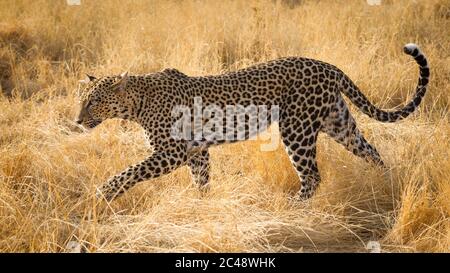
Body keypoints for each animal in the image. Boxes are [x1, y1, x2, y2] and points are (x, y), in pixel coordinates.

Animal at [76, 43, 428, 201]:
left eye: (93, 101)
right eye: (82, 99)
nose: (78, 120)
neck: (138, 103)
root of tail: (327, 65)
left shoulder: (173, 152)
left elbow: (131, 171)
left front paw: (104, 192)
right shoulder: (196, 152)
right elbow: (201, 180)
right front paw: (203, 204)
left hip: (296, 128)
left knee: (312, 175)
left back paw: (293, 208)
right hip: (337, 122)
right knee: (371, 151)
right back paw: (385, 184)